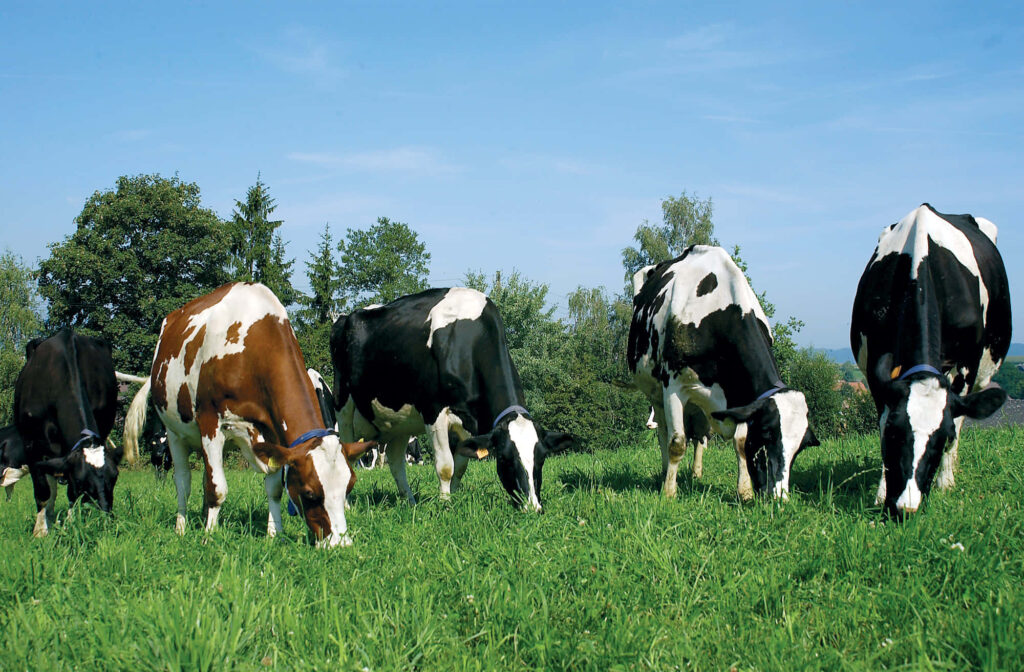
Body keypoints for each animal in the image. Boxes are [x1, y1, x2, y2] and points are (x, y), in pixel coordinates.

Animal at [7, 328, 130, 536]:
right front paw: (41, 532)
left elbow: (71, 495)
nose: (106, 519)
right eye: (81, 481)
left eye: (115, 477)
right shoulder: (31, 445)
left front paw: (72, 524)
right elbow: (44, 491)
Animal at [124, 282, 374, 547]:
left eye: (349, 487)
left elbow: (273, 489)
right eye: (309, 492)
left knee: (204, 477)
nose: (340, 544)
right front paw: (209, 537)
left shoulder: (272, 434)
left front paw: (275, 535)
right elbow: (217, 489)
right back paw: (181, 527)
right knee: (183, 481)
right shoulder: (211, 423)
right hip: (174, 433)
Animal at [331, 287, 577, 511]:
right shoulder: (434, 410)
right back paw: (347, 505)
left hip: (400, 420)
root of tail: (344, 317)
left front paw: (455, 499)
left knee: (395, 460)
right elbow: (445, 466)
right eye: (505, 459)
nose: (533, 507)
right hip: (343, 405)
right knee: (347, 454)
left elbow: (460, 466)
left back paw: (411, 504)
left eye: (541, 459)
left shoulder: (467, 421)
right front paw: (445, 505)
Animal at [629, 245, 818, 500]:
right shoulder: (673, 386)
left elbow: (740, 442)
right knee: (664, 434)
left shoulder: (742, 399)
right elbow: (677, 442)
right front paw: (669, 493)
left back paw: (696, 473)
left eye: (801, 448)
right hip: (655, 393)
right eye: (767, 435)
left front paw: (744, 492)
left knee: (699, 435)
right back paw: (664, 472)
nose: (779, 498)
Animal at [851, 204, 1010, 515]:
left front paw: (945, 483)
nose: (906, 507)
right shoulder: (876, 364)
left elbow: (957, 424)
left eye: (940, 439)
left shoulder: (968, 363)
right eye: (895, 434)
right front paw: (882, 491)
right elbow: (881, 418)